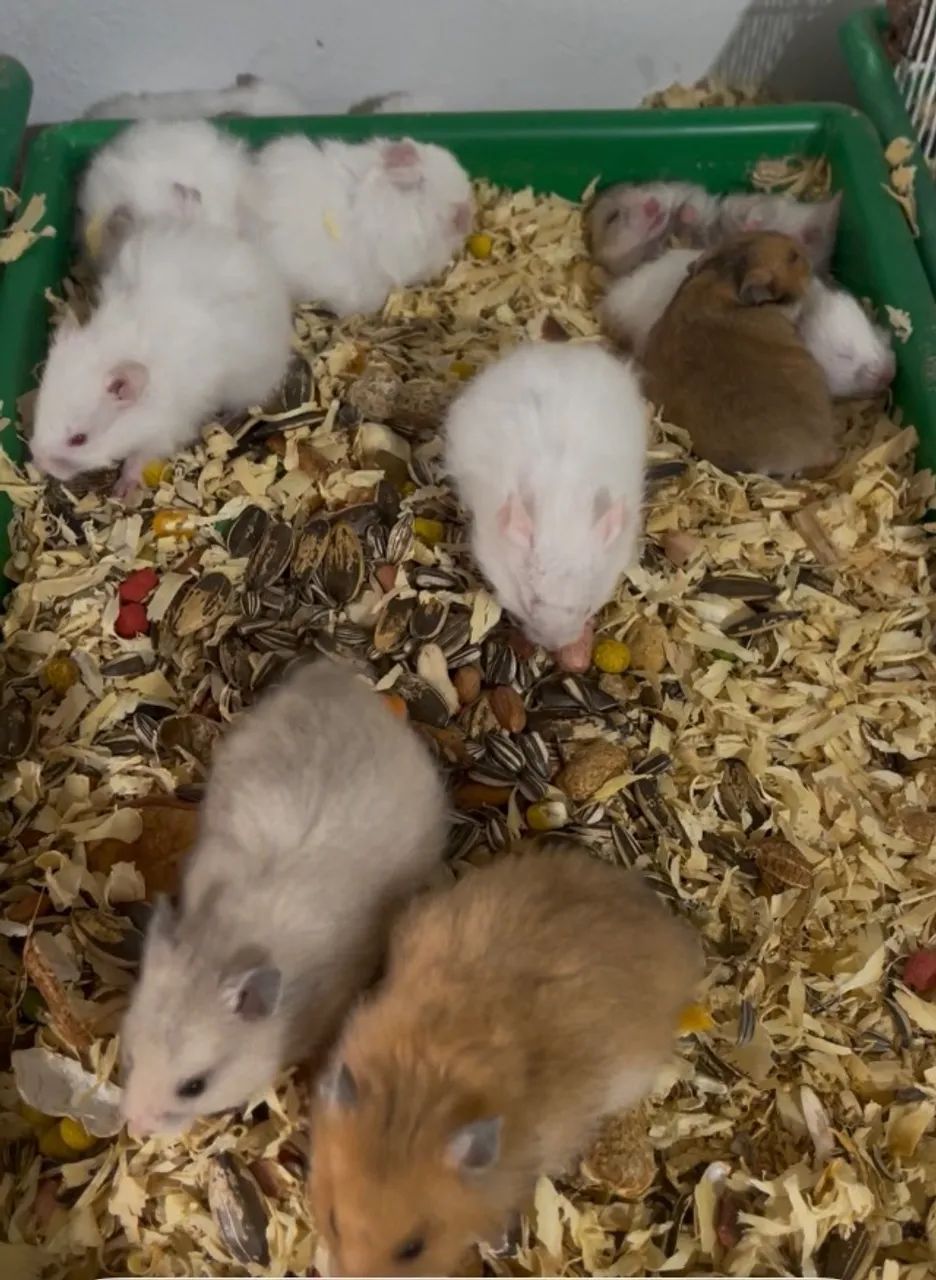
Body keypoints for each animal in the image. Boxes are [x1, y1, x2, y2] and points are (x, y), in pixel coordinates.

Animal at [30, 218, 292, 495]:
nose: (38, 460)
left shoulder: (165, 431)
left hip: (251, 382)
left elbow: (139, 458)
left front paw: (122, 491)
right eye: (39, 410)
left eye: (79, 439)